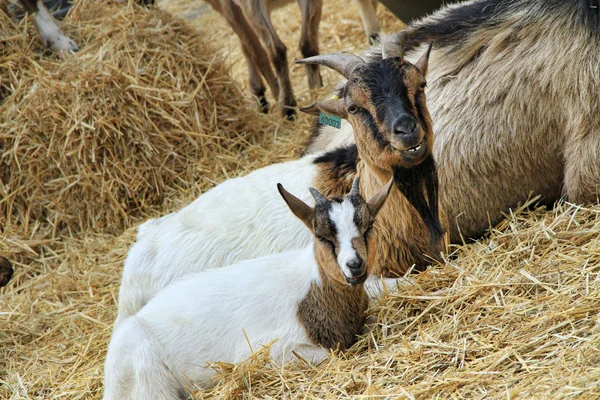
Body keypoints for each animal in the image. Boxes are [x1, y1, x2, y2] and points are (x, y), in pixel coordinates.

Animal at [103, 177, 394, 396]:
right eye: (322, 236)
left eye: (368, 226)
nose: (354, 265)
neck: (313, 293)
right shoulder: (272, 351)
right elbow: (330, 355)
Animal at [206, 0, 380, 119]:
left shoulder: (227, 6)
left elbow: (252, 49)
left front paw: (265, 95)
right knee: (305, 43)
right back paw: (314, 92)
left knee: (274, 50)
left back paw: (286, 106)